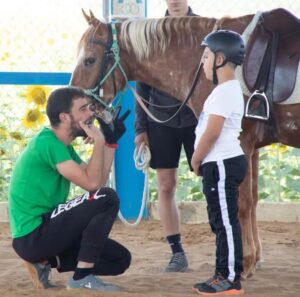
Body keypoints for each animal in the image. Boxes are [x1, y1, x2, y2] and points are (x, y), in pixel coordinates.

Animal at [71, 9, 300, 278]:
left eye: (89, 60)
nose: (73, 104)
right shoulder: (252, 147)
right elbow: (252, 201)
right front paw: (253, 259)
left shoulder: (240, 142)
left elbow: (240, 203)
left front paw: (244, 262)